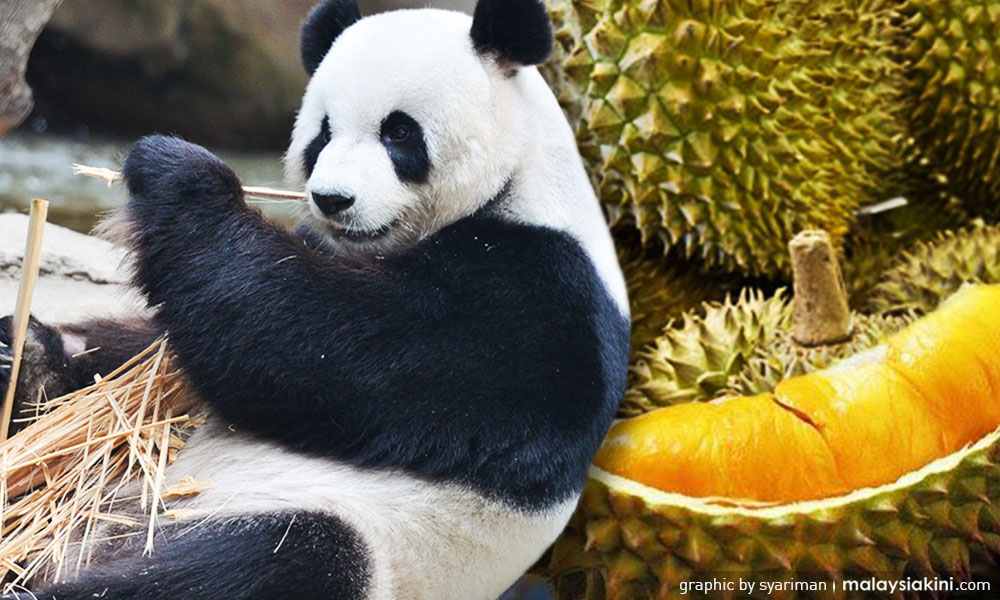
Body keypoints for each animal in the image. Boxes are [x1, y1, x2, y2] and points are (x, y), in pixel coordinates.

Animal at [0, 0, 630, 598]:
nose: (332, 199)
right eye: (322, 132)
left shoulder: (540, 299)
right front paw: (28, 359)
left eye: (400, 133)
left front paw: (174, 173)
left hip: (345, 539)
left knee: (274, 561)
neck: (518, 179)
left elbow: (319, 346)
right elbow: (141, 361)